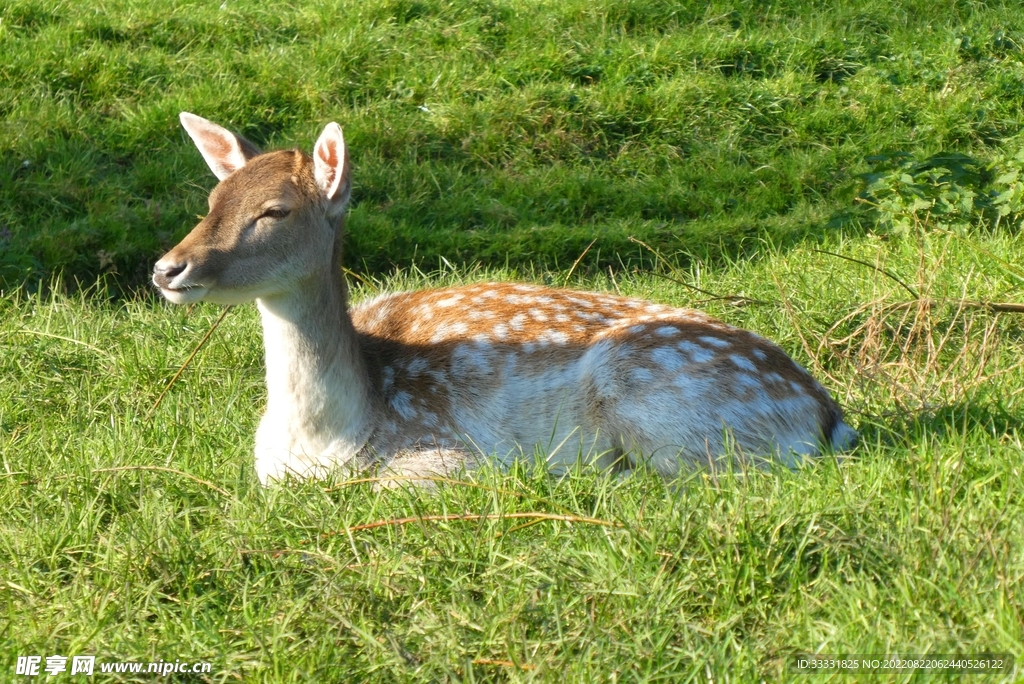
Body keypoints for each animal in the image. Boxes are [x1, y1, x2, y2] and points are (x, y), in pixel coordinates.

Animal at [153, 113, 857, 485]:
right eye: (212, 199)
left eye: (275, 210)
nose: (166, 269)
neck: (324, 442)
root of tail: (828, 415)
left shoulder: (447, 456)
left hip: (670, 411)